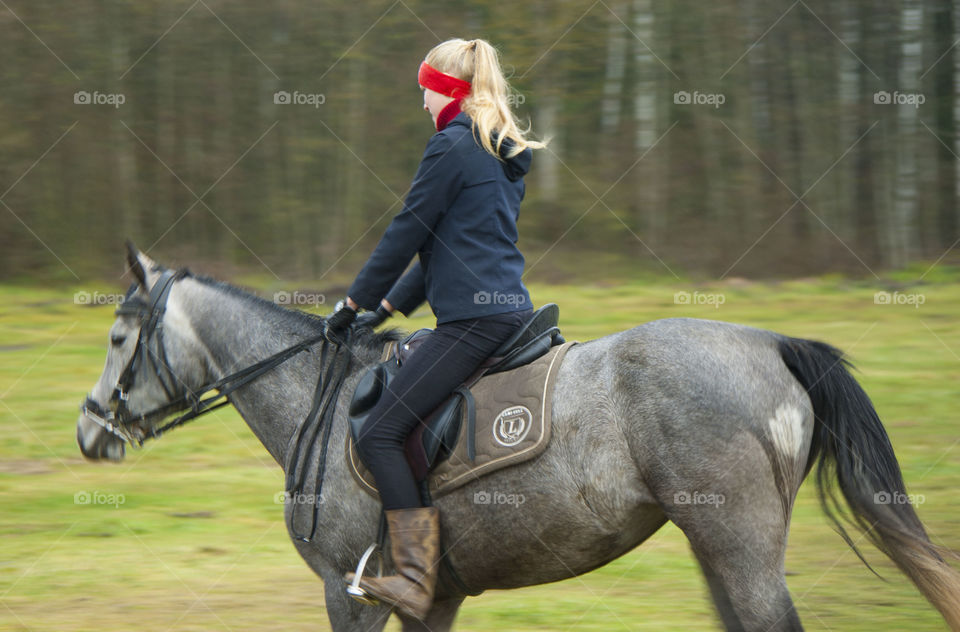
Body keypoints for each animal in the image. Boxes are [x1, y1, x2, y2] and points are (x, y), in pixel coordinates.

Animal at [77, 248, 960, 632]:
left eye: (120, 338)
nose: (90, 431)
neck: (316, 401)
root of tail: (768, 342)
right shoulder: (433, 599)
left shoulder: (346, 589)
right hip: (718, 547)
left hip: (739, 548)